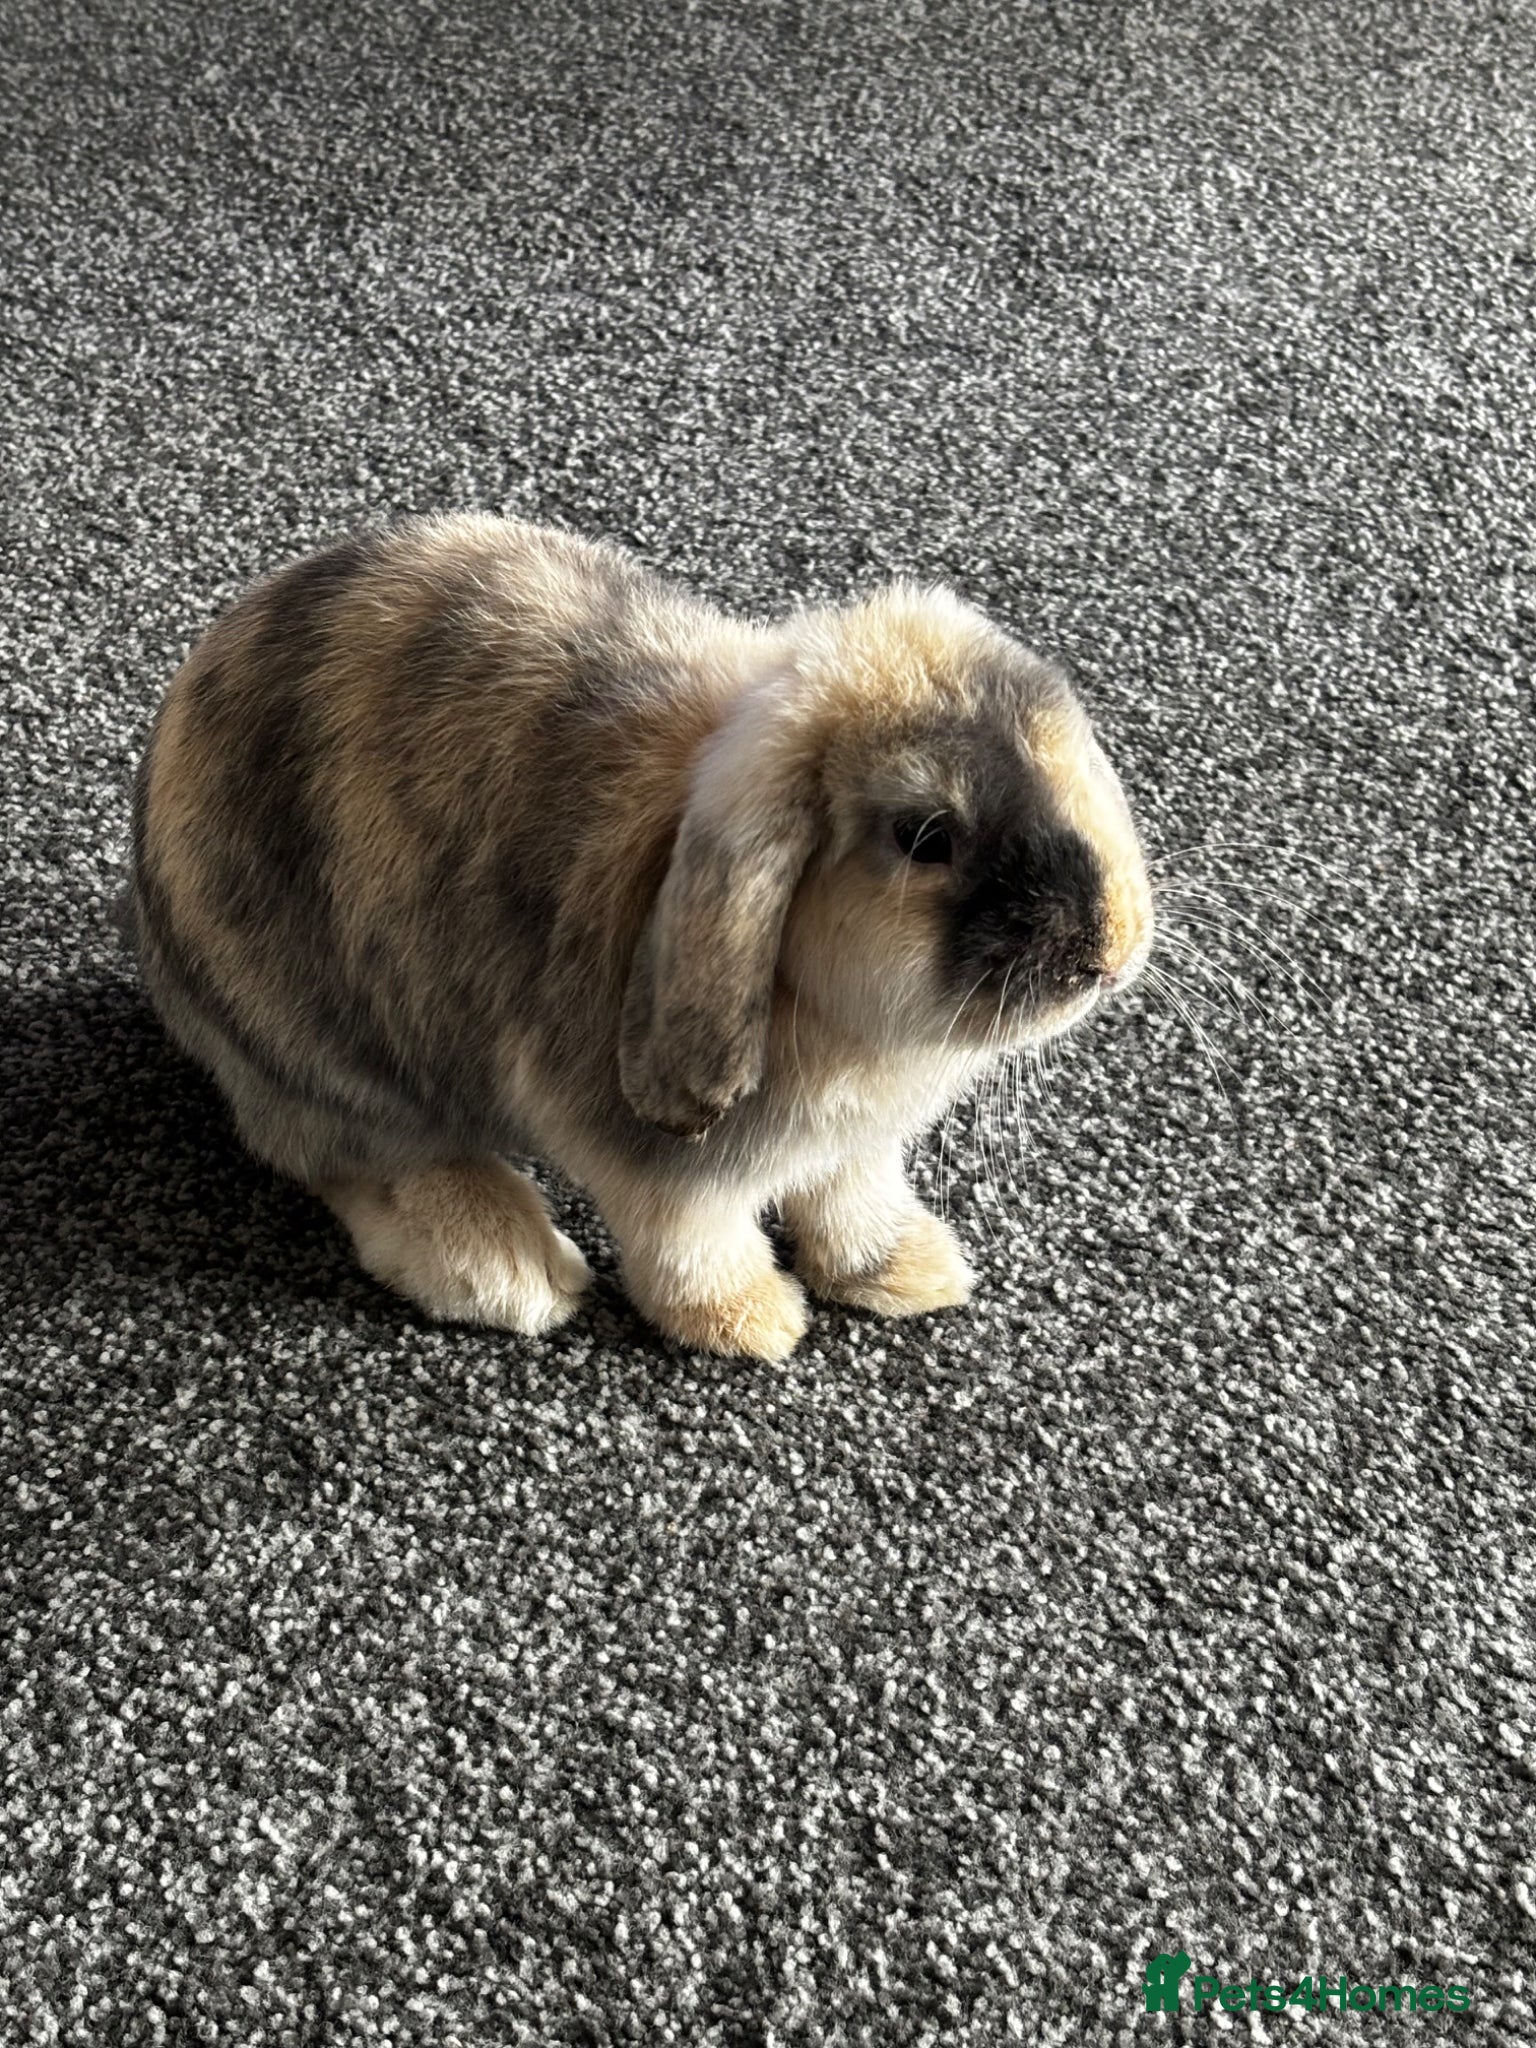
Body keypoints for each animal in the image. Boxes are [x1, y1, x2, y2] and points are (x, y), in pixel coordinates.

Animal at [129, 515, 1154, 1360]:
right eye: (925, 837)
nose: (1111, 951)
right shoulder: (662, 1168)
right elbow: (690, 1241)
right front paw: (753, 1324)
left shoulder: (854, 1152)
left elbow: (852, 1202)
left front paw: (911, 1272)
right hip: (322, 1050)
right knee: (359, 1159)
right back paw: (508, 1271)